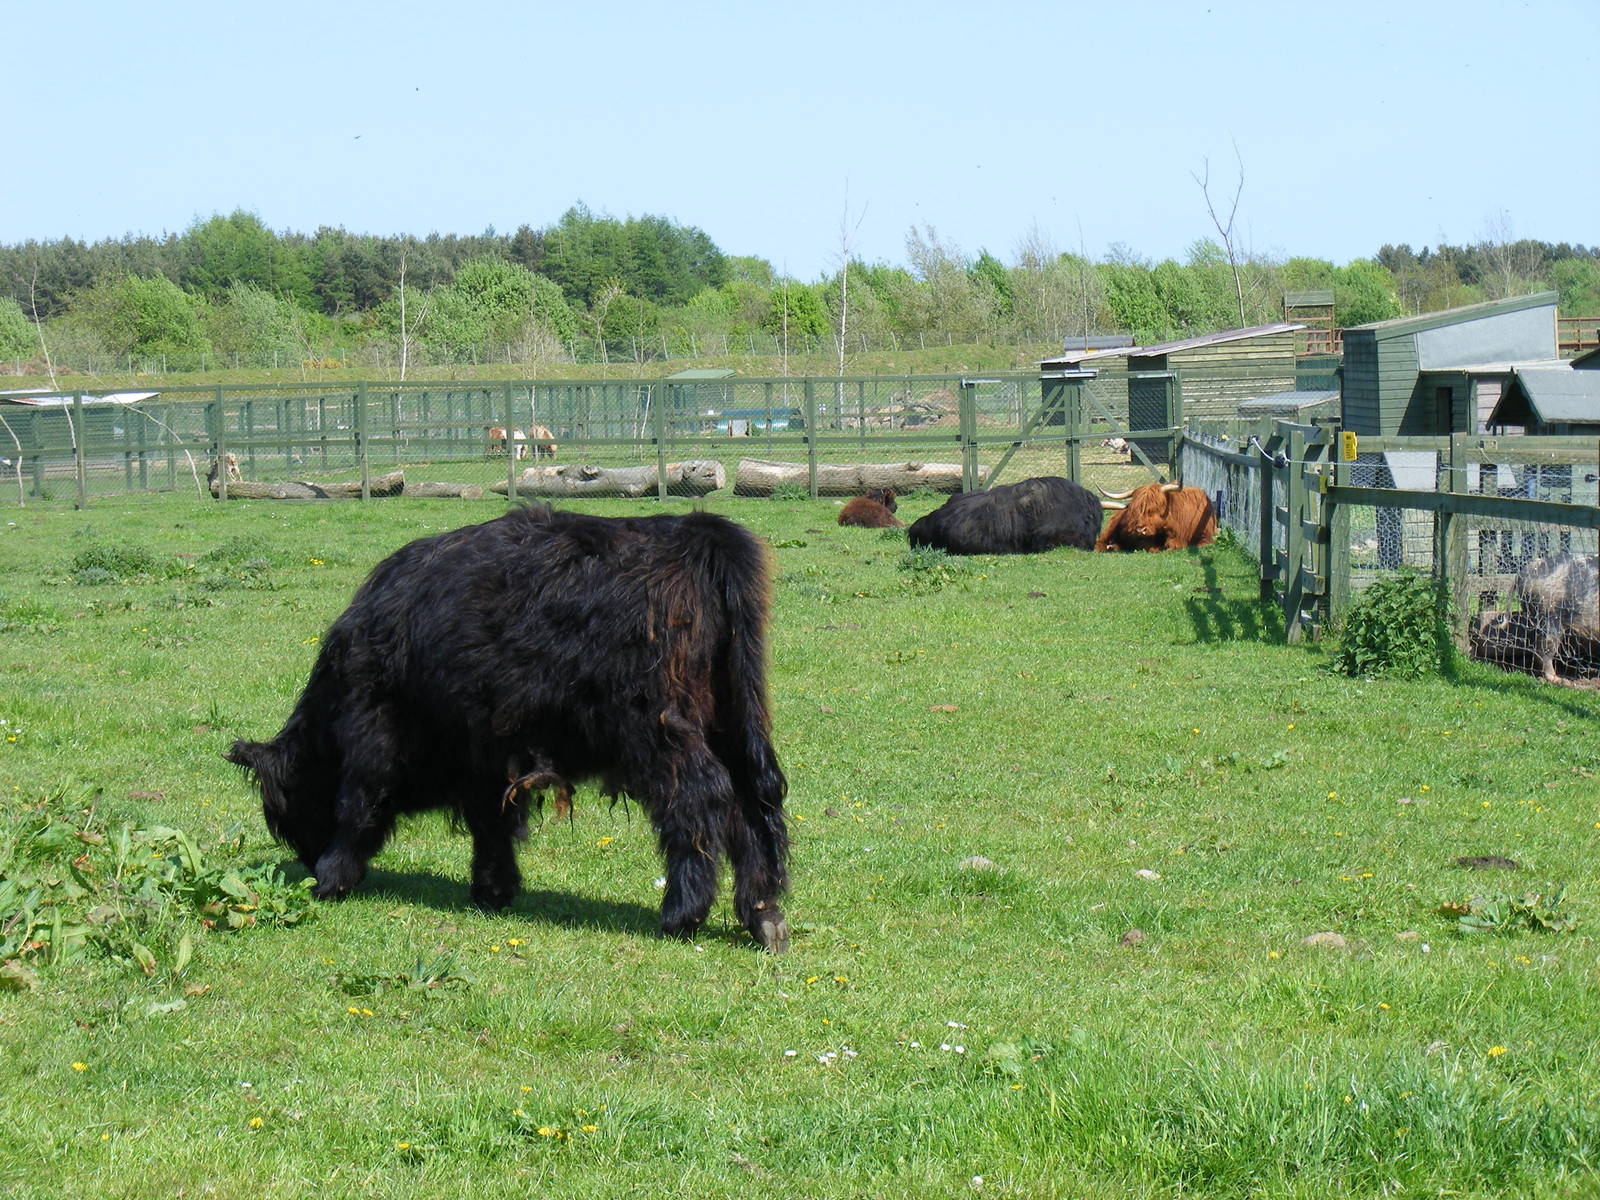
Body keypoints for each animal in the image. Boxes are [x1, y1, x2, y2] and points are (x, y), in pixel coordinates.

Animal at [225, 505, 791, 952]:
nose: (305, 860)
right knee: (750, 805)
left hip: (658, 731)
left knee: (700, 800)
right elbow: (491, 824)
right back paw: (764, 916)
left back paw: (681, 914)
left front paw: (332, 878)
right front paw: (493, 890)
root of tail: (694, 530)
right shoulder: (486, 755)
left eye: (284, 806)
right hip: (732, 720)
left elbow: (357, 803)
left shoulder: (377, 733)